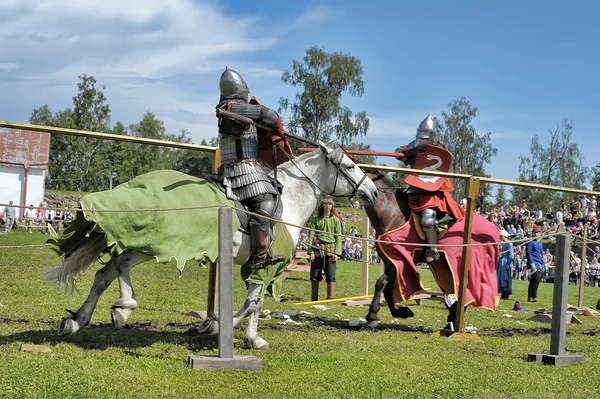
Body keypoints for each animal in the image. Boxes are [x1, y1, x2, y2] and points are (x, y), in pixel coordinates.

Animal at [44, 142, 378, 348]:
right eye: (350, 165)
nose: (373, 192)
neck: (291, 200)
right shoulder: (268, 267)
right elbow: (252, 303)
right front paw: (221, 329)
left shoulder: (258, 268)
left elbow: (255, 303)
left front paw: (246, 337)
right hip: (156, 245)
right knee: (120, 264)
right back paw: (124, 307)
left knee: (105, 273)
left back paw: (77, 321)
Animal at [360, 170, 502, 330]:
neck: (393, 215)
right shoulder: (391, 261)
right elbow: (387, 288)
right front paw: (401, 311)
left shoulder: (397, 261)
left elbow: (381, 283)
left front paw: (372, 315)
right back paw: (451, 320)